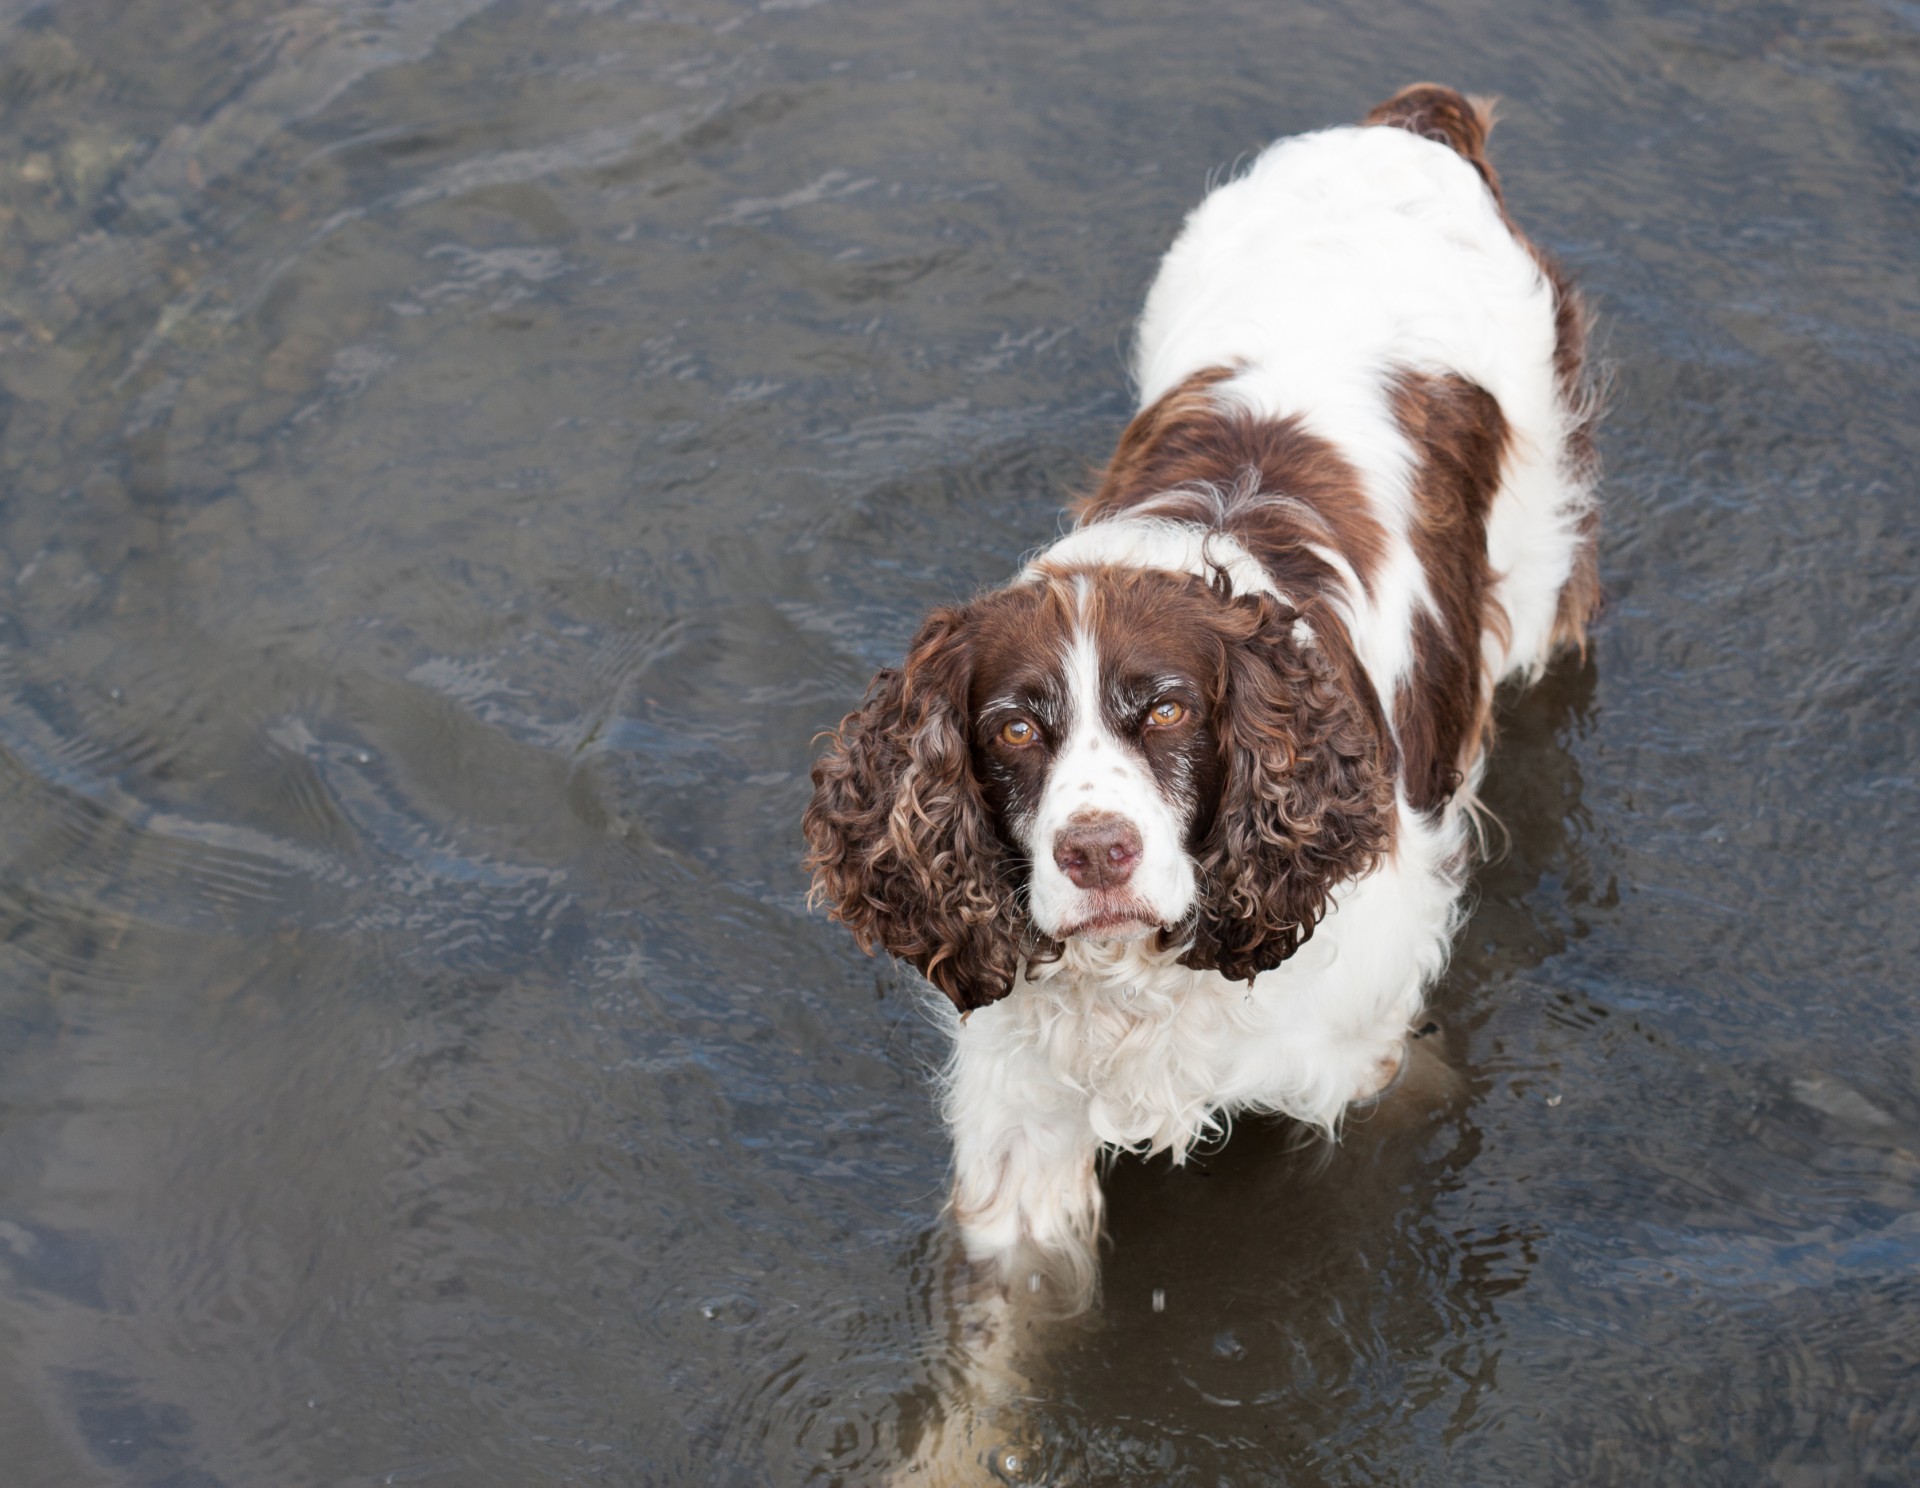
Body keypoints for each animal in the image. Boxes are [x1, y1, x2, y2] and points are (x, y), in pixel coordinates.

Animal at [802, 87, 1597, 1313]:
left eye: (1169, 711)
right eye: (1013, 729)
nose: (1095, 855)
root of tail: (1402, 128)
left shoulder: (1361, 1062)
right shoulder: (1021, 1119)